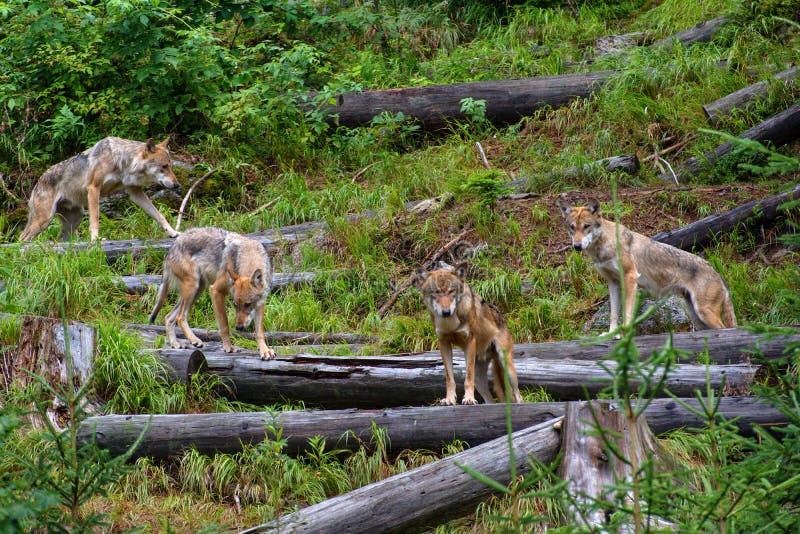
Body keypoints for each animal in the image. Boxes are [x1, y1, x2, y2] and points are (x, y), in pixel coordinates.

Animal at [18, 136, 181, 243]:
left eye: (171, 167)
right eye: (164, 167)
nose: (177, 185)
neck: (121, 161)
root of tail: (38, 182)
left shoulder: (135, 192)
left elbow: (159, 215)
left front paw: (172, 232)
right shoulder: (93, 188)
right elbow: (95, 218)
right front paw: (96, 239)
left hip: (74, 220)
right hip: (44, 220)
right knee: (21, 238)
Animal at [148, 228, 276, 362]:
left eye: (247, 304)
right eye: (235, 305)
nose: (239, 327)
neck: (249, 254)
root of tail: (172, 246)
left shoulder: (260, 303)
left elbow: (259, 332)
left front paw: (265, 351)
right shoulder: (215, 291)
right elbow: (224, 325)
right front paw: (229, 347)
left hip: (197, 290)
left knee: (169, 317)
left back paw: (175, 344)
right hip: (193, 287)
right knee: (180, 317)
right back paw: (194, 340)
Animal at [416, 266, 520, 408]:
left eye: (451, 291)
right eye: (436, 292)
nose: (446, 312)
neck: (450, 323)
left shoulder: (470, 341)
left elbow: (468, 378)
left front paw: (469, 399)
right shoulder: (443, 343)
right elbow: (449, 378)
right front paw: (449, 399)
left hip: (506, 365)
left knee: (518, 395)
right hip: (480, 379)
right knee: (490, 400)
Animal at [556, 195, 736, 332]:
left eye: (586, 226)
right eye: (572, 228)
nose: (577, 246)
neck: (604, 247)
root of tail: (717, 273)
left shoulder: (630, 277)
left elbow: (627, 313)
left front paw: (624, 335)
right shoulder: (613, 283)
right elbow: (613, 314)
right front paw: (611, 334)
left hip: (704, 312)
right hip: (696, 316)